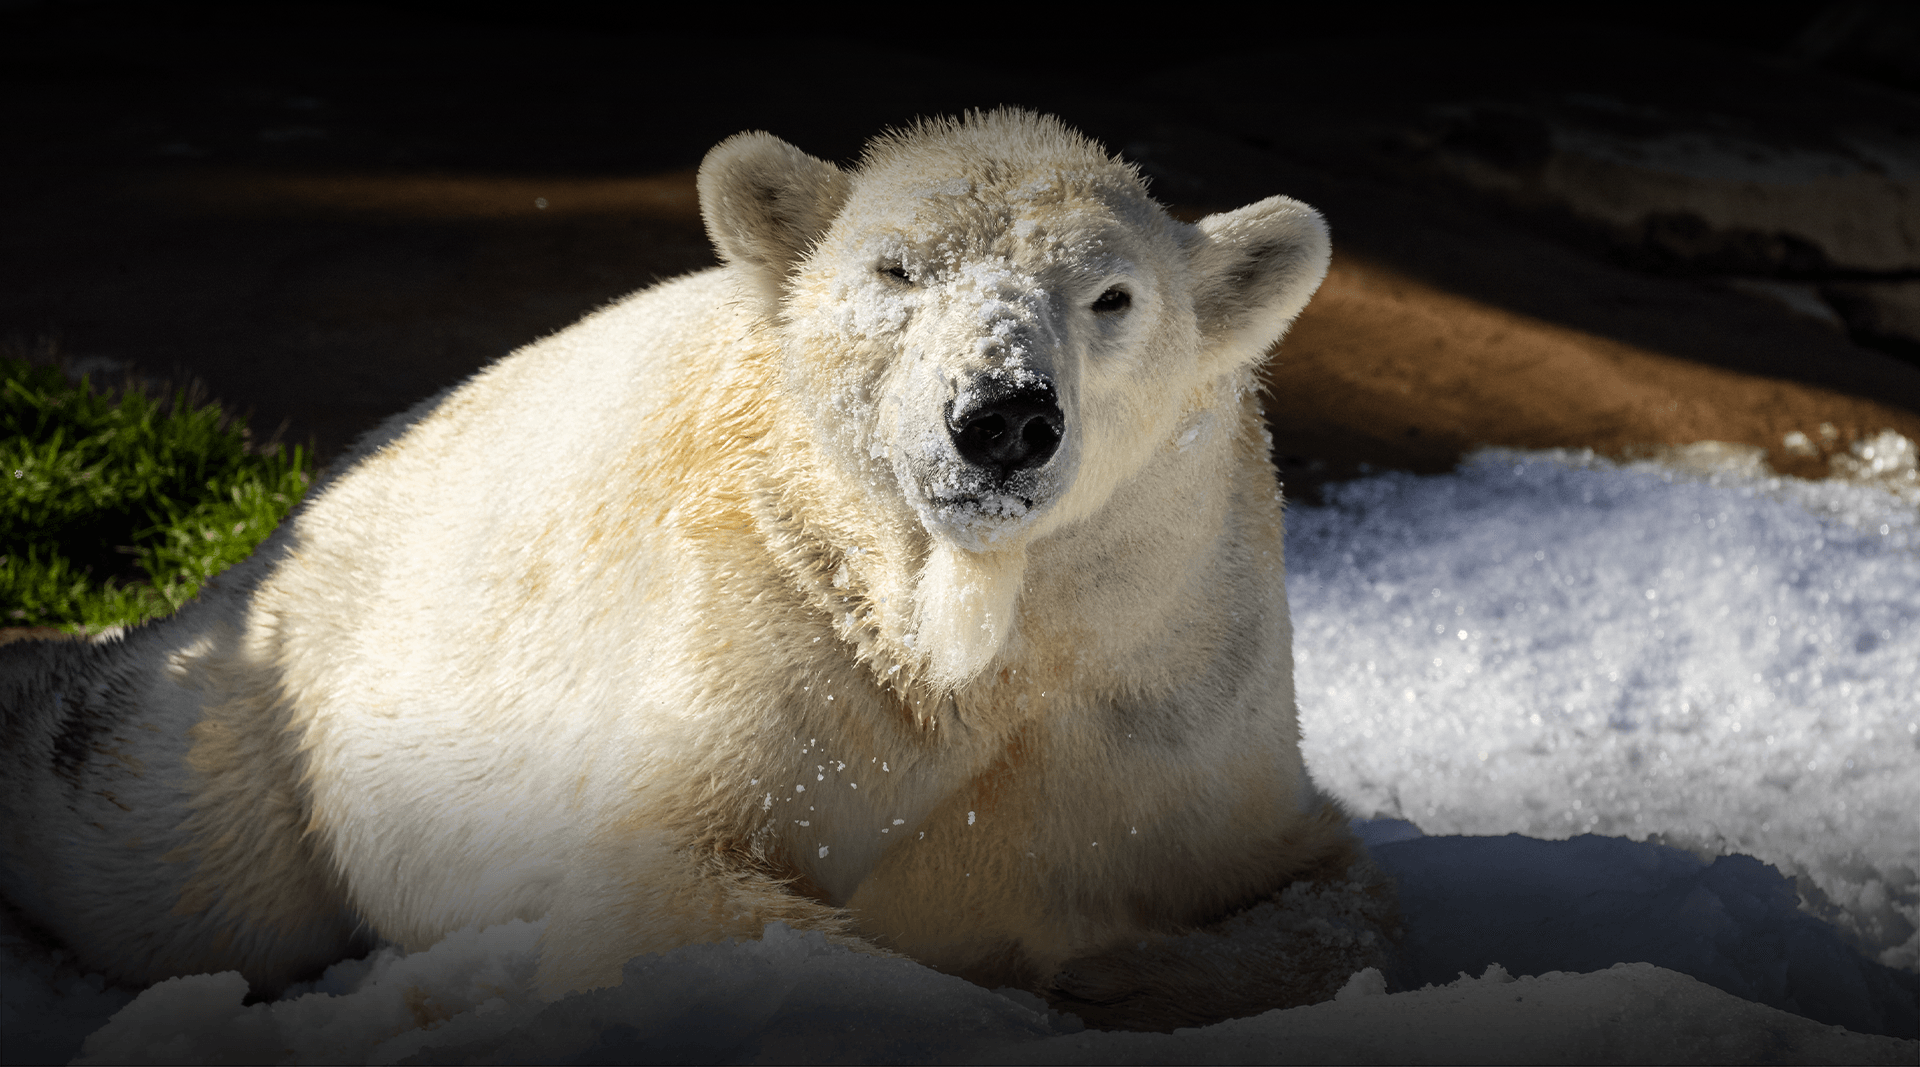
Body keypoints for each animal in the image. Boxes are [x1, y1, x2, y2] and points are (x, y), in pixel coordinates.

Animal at [0, 110, 1382, 1036]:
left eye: (1112, 295)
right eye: (897, 269)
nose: (1001, 415)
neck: (985, 624)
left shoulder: (1166, 680)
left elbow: (1323, 886)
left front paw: (1117, 968)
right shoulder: (777, 618)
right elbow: (674, 876)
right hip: (285, 710)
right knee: (153, 845)